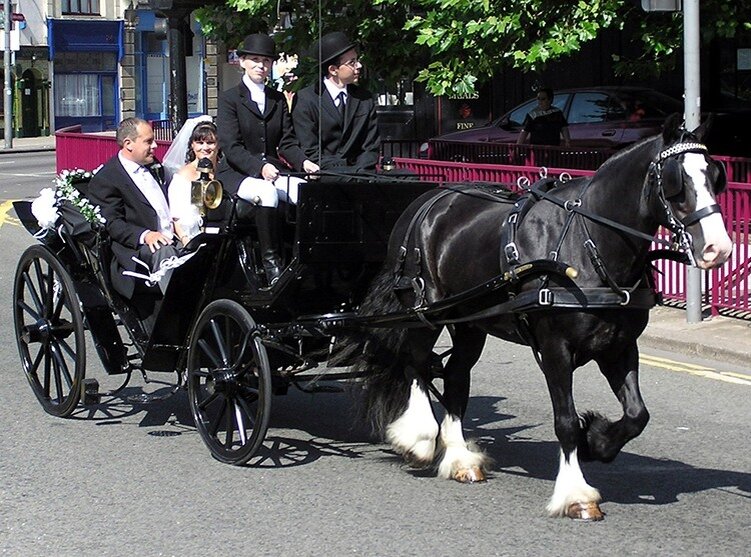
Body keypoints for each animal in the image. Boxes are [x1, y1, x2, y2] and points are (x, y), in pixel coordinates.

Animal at [348, 115, 736, 520]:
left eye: (715, 175)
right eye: (677, 180)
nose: (719, 248)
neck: (588, 243)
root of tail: (427, 201)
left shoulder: (619, 347)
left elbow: (636, 415)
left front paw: (597, 440)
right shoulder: (555, 348)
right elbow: (565, 422)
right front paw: (576, 494)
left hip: (469, 322)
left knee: (454, 376)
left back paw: (459, 458)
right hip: (424, 311)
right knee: (416, 364)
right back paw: (419, 438)